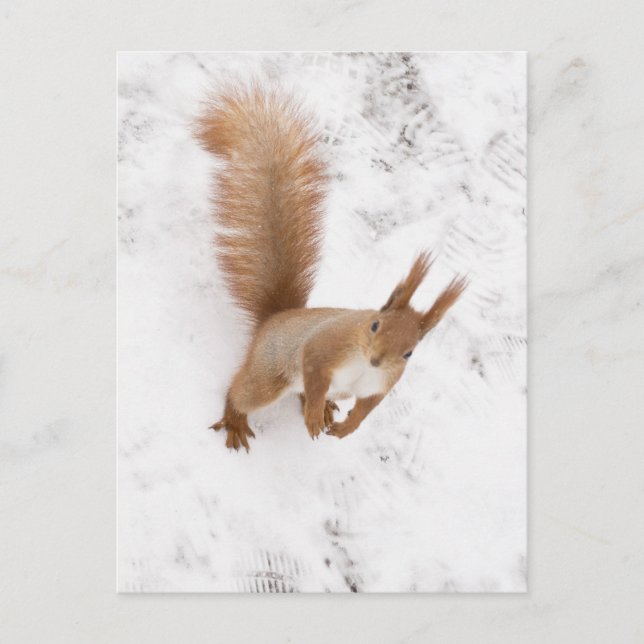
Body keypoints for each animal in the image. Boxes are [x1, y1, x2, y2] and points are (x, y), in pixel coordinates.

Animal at [195, 85, 467, 451]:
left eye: (410, 352)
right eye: (375, 325)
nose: (377, 360)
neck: (363, 364)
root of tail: (274, 318)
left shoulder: (382, 384)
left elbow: (368, 407)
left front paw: (348, 426)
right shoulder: (324, 346)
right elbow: (314, 368)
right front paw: (312, 418)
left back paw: (323, 409)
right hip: (270, 373)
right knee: (244, 392)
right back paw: (240, 418)